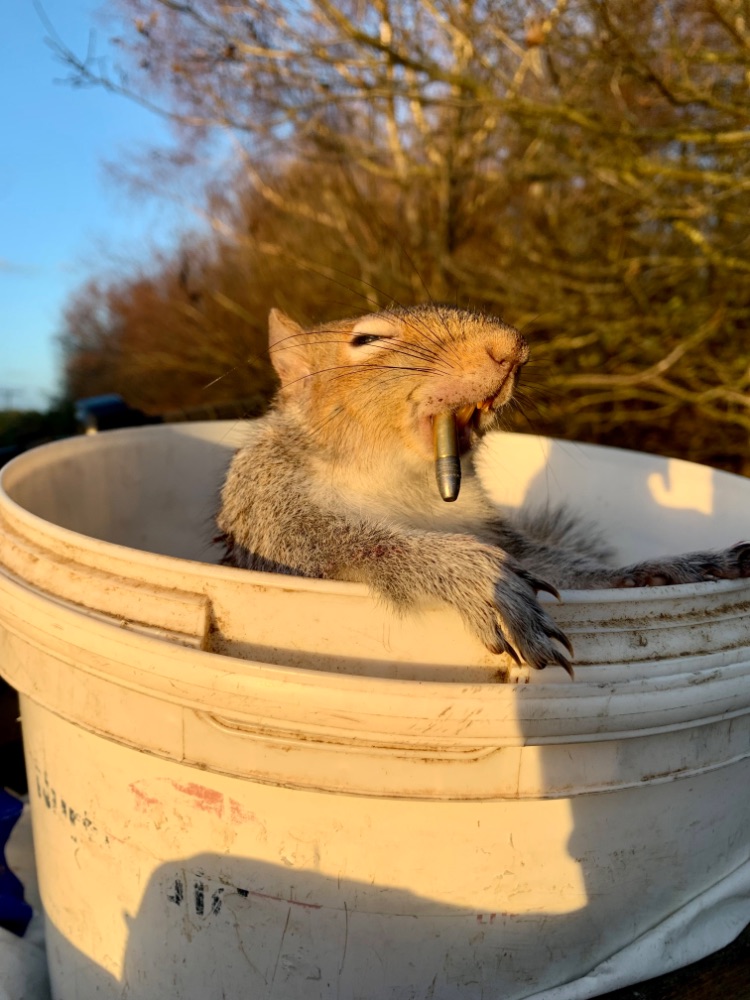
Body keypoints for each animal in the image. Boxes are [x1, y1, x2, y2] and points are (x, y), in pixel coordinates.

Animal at [217, 305, 750, 676]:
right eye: (367, 339)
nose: (512, 348)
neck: (401, 479)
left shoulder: (490, 526)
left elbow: (567, 571)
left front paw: (670, 569)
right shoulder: (267, 505)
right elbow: (339, 541)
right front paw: (474, 577)